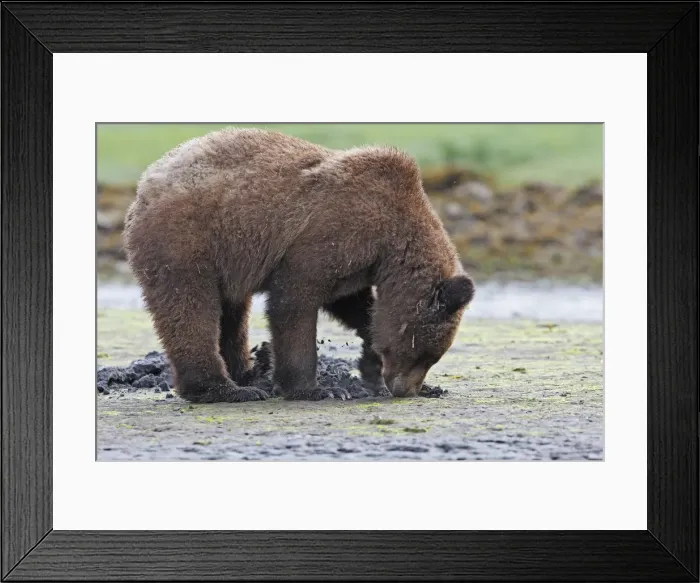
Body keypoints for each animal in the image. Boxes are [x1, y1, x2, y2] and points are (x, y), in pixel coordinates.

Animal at [123, 128, 475, 403]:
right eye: (424, 352)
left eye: (433, 357)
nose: (405, 389)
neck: (390, 241)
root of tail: (145, 183)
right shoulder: (330, 233)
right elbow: (294, 303)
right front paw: (317, 388)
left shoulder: (356, 261)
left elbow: (353, 304)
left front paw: (381, 367)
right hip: (189, 239)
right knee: (190, 308)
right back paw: (225, 389)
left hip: (226, 260)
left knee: (232, 315)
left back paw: (248, 374)